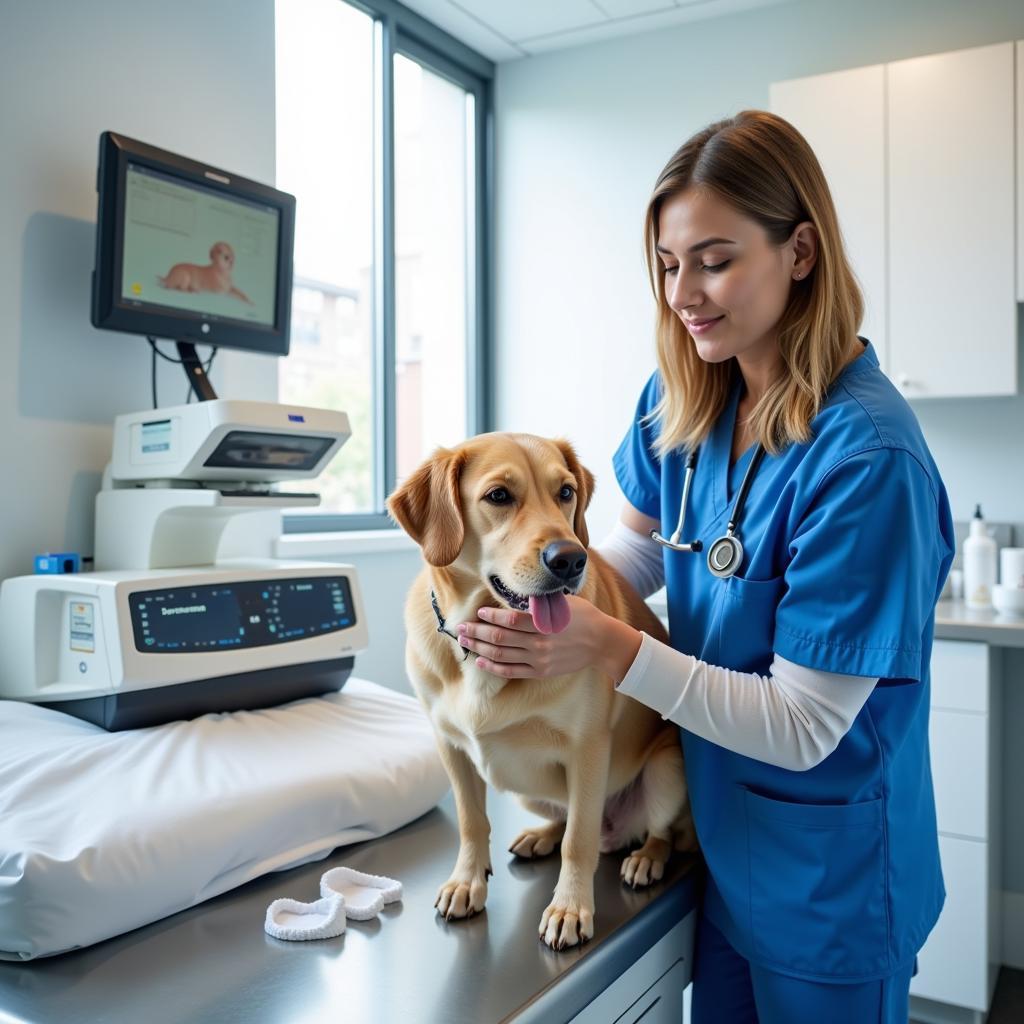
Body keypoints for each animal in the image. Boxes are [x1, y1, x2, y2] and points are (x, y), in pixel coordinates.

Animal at [385, 434, 696, 950]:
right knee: (563, 816)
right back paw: (541, 835)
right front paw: (467, 881)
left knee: (658, 832)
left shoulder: (588, 749)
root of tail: (618, 833)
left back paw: (646, 857)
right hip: (526, 788)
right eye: (498, 496)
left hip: (666, 770)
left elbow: (579, 841)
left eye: (565, 492)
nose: (570, 559)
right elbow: (472, 822)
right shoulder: (450, 747)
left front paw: (570, 907)